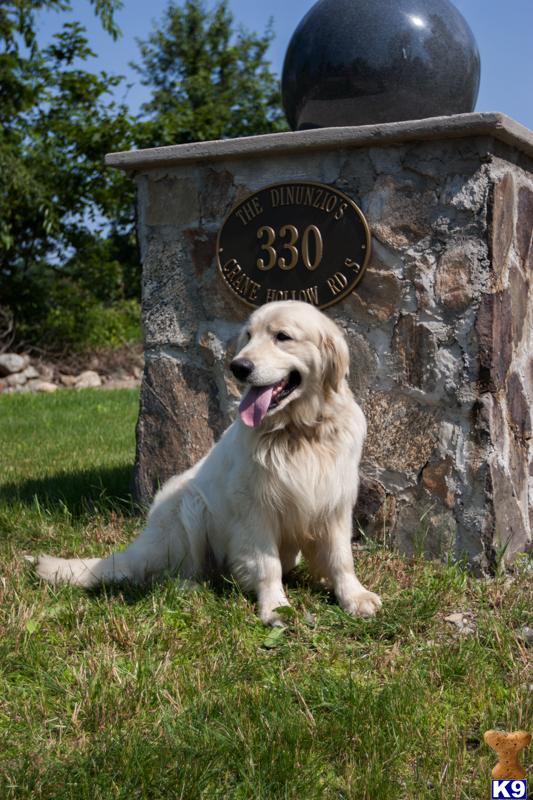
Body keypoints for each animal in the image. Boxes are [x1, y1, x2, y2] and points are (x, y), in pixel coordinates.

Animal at [33, 300, 380, 624]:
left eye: (282, 337)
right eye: (248, 336)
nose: (238, 367)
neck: (299, 432)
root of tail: (145, 540)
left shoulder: (335, 502)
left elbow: (341, 558)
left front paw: (353, 596)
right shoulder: (254, 507)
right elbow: (267, 564)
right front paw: (275, 606)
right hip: (188, 506)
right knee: (174, 571)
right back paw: (191, 587)